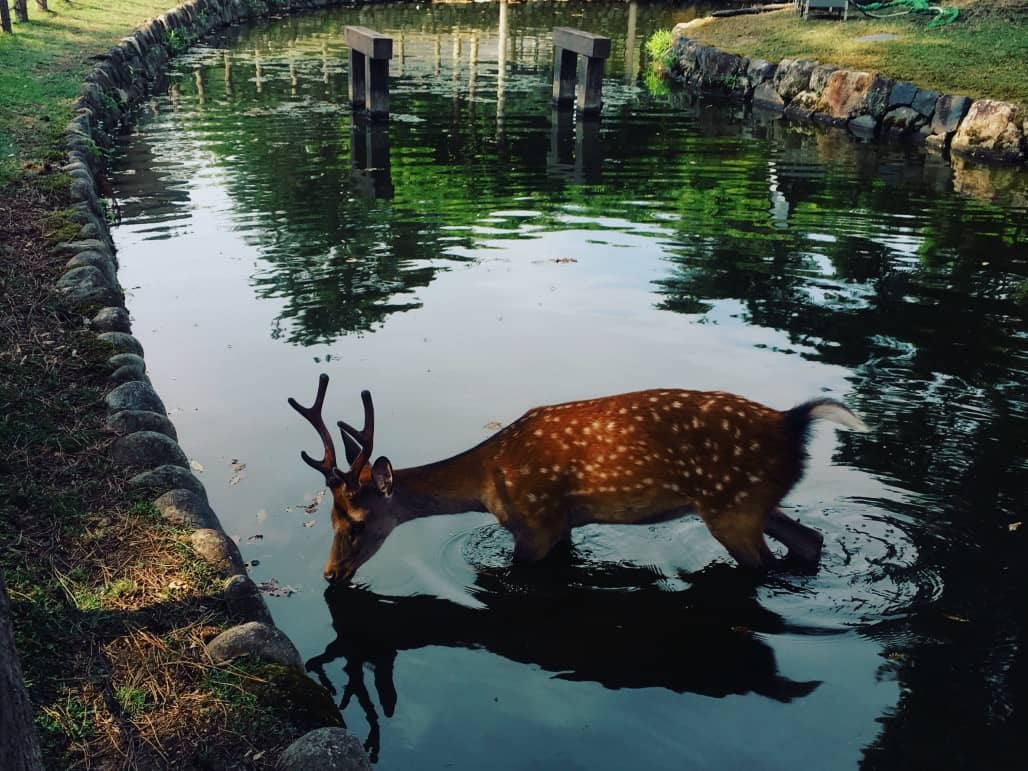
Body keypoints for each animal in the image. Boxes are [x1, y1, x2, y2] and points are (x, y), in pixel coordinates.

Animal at [289, 373, 869, 584]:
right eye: (329, 518)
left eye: (356, 522)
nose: (329, 574)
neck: (488, 483)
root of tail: (792, 422)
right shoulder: (563, 523)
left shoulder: (537, 523)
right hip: (754, 501)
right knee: (810, 540)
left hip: (733, 508)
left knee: (767, 563)